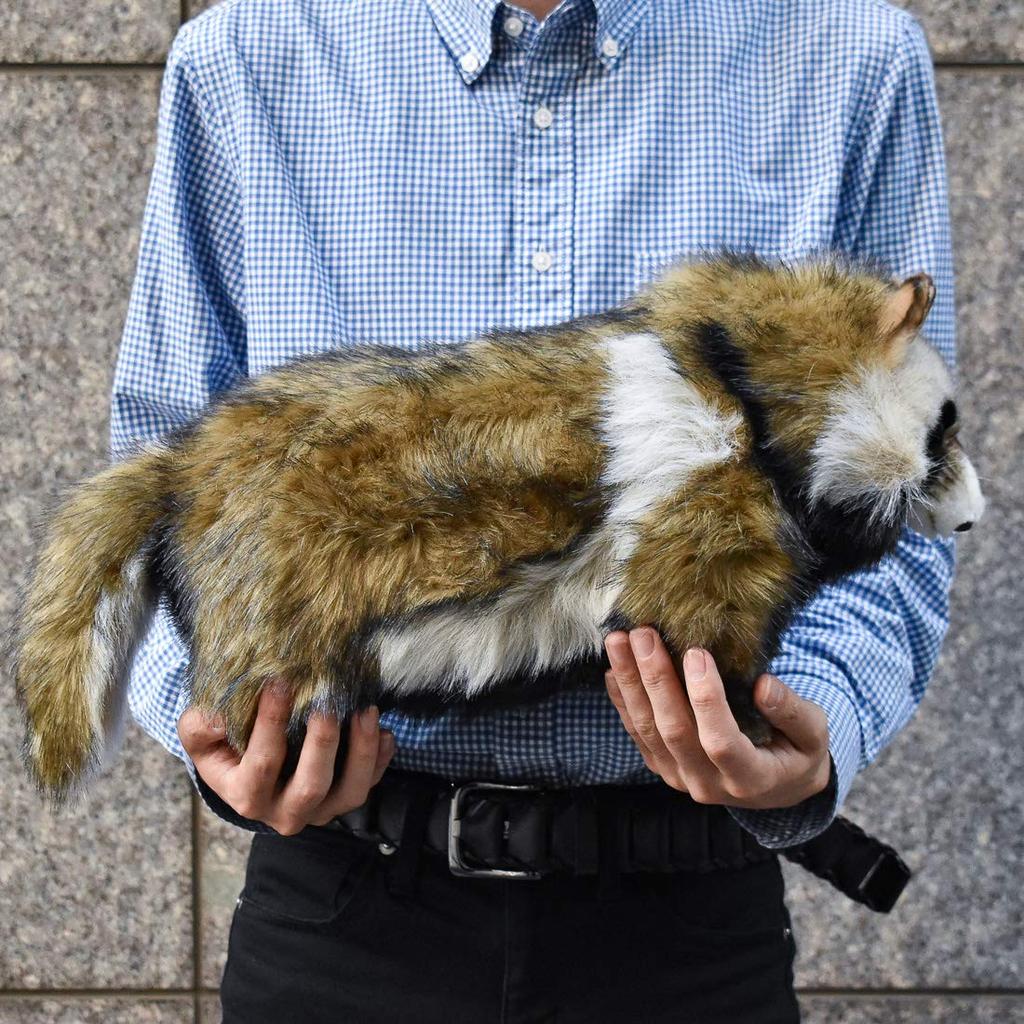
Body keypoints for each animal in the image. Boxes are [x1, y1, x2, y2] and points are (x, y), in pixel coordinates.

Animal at [15, 254, 984, 798]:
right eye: (945, 428)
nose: (975, 517)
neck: (741, 385)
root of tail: (180, 464)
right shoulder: (707, 523)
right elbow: (697, 631)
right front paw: (749, 734)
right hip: (270, 623)